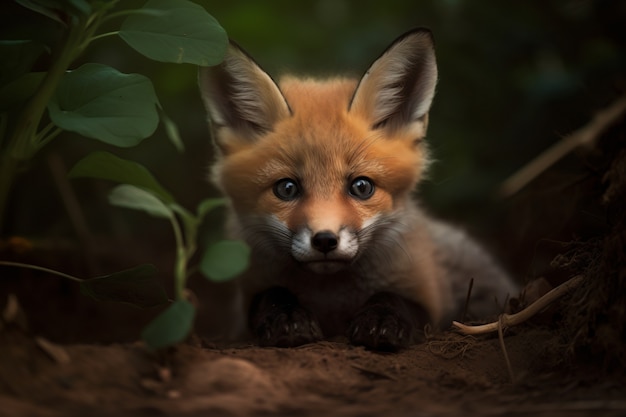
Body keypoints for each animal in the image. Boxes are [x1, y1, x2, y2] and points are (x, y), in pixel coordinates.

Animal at [200, 27, 516, 350]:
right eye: (286, 189)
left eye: (361, 187)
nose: (325, 240)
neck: (331, 299)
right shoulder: (247, 299)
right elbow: (270, 295)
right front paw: (286, 316)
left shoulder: (430, 297)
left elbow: (394, 297)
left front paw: (382, 319)